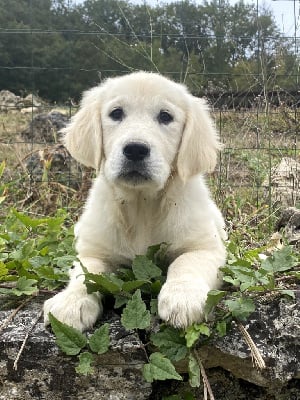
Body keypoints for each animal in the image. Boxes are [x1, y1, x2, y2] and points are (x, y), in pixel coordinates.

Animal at [43, 71, 226, 332]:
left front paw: (183, 297)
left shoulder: (206, 247)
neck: (142, 204)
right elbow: (86, 274)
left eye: (165, 116)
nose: (136, 150)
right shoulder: (93, 252)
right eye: (116, 113)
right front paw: (71, 302)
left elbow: (186, 262)